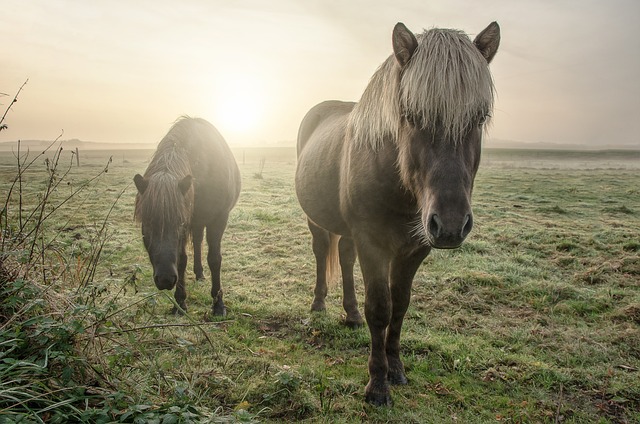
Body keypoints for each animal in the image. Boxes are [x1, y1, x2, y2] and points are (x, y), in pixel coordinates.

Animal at [132, 117, 240, 316]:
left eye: (179, 223)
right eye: (146, 224)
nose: (165, 279)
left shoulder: (218, 219)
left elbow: (215, 259)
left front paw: (218, 304)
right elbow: (182, 260)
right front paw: (180, 302)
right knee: (197, 242)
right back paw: (198, 273)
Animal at [296, 22, 500, 404]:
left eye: (480, 118)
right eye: (412, 116)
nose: (451, 224)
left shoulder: (415, 249)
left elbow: (400, 306)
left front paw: (396, 368)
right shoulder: (373, 245)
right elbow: (380, 309)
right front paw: (377, 384)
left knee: (344, 256)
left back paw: (350, 314)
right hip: (318, 221)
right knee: (321, 252)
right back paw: (319, 305)